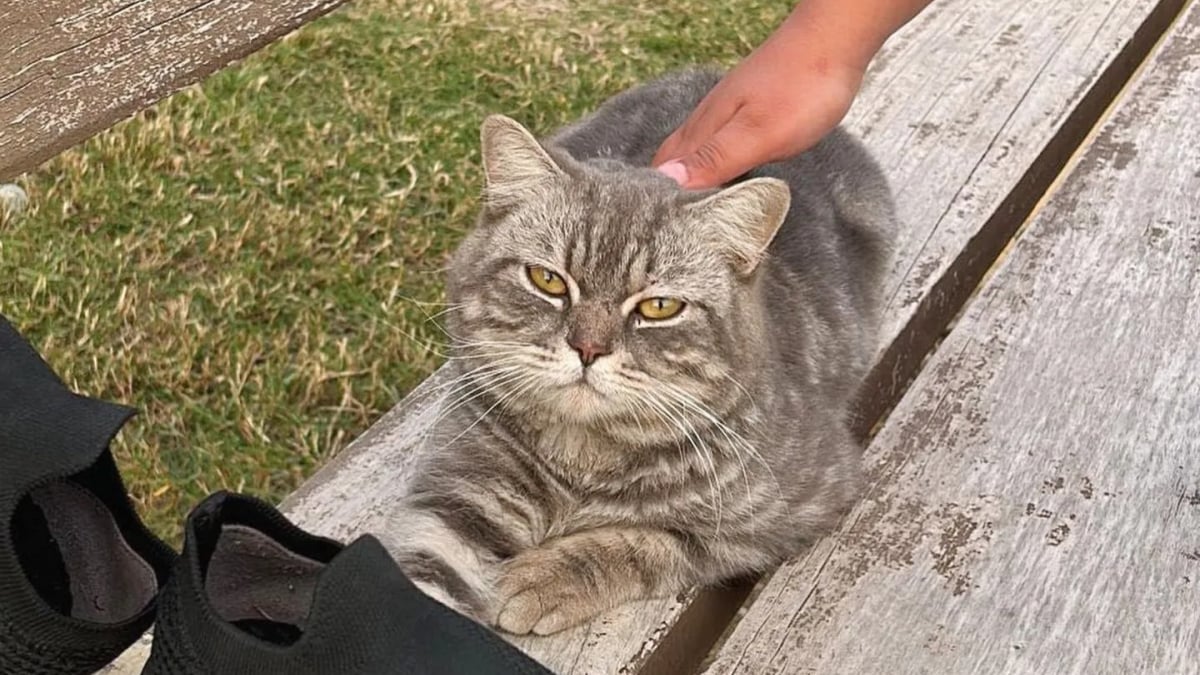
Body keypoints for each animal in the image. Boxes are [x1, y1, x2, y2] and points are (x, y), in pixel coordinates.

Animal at [379, 70, 897, 634]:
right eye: (547, 280)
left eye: (659, 307)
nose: (588, 348)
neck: (583, 461)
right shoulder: (458, 494)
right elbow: (419, 578)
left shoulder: (801, 506)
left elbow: (654, 543)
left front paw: (544, 578)